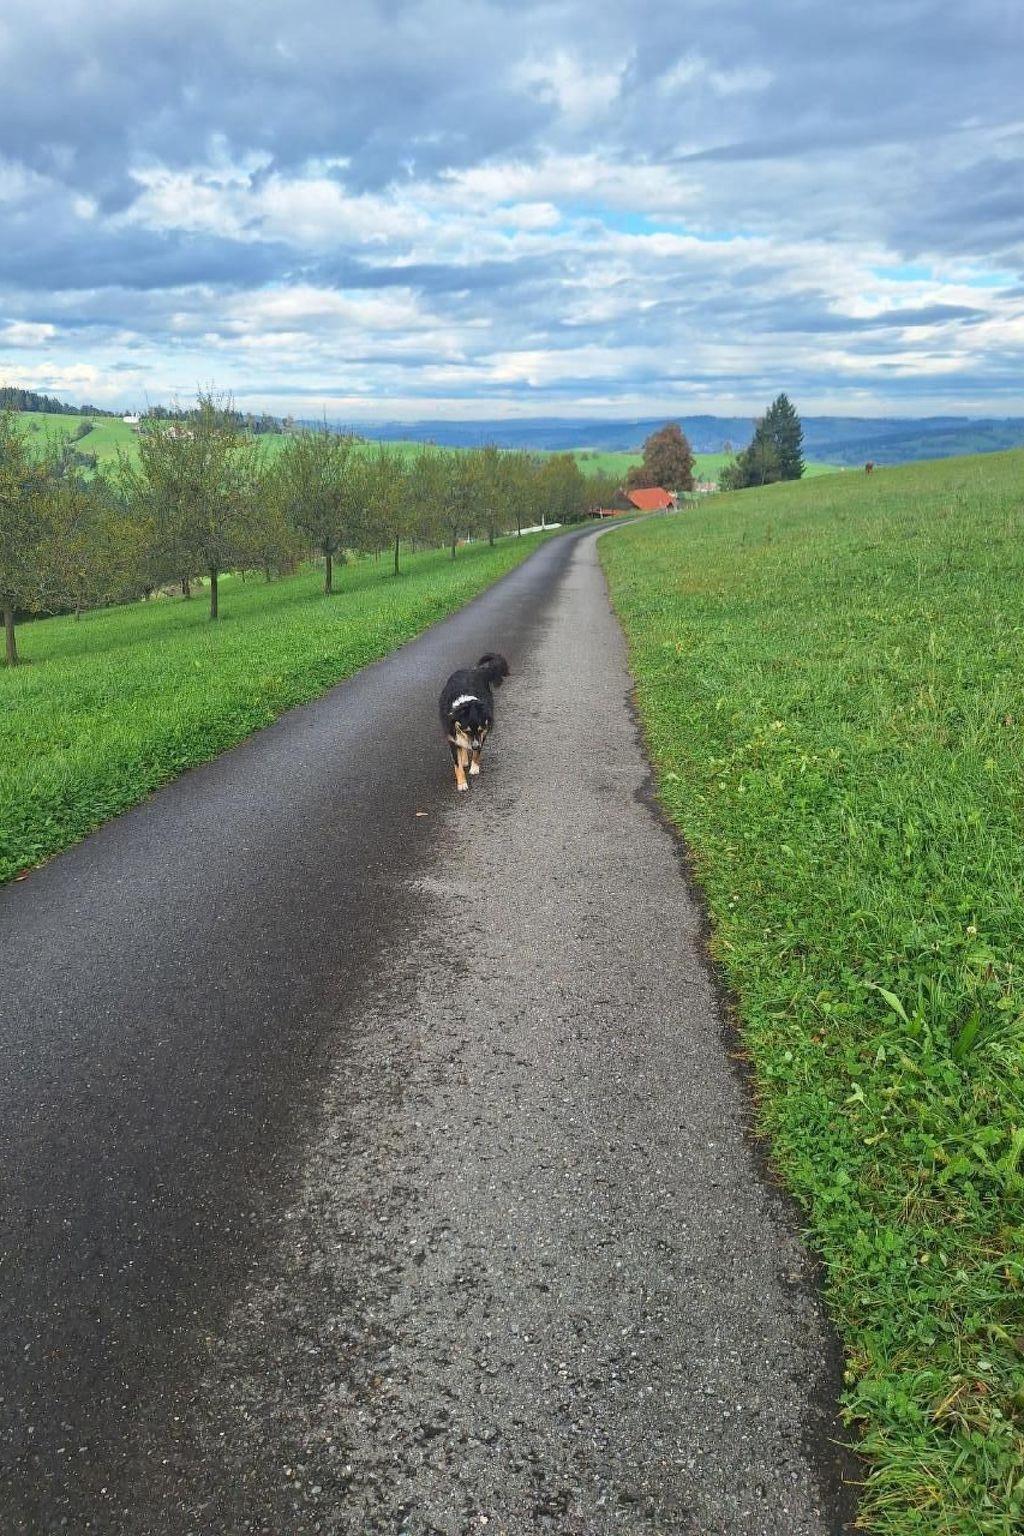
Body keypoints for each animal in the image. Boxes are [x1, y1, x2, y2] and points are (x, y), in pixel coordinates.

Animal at [438, 652, 510, 792]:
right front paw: (462, 783)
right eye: (467, 731)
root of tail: (477, 670)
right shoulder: (452, 737)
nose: (475, 746)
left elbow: (477, 753)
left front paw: (474, 767)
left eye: (480, 729)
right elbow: (457, 764)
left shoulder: (483, 731)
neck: (466, 703)